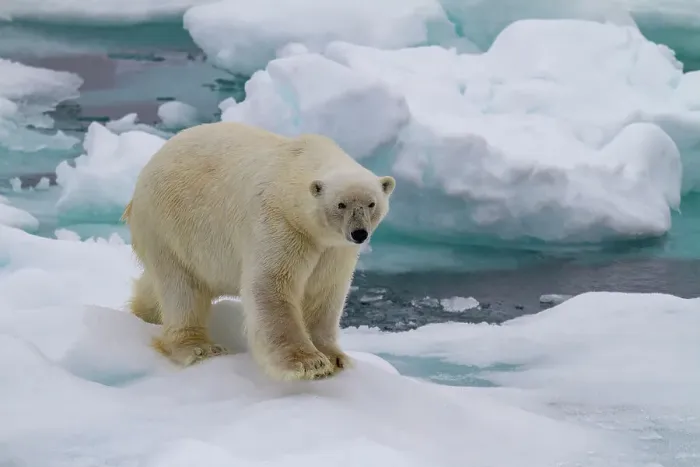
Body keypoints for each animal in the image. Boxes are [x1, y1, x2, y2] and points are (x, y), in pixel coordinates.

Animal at [121, 121, 396, 381]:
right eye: (341, 204)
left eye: (371, 203)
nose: (359, 233)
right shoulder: (281, 224)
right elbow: (272, 283)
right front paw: (307, 363)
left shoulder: (334, 249)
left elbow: (324, 291)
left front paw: (335, 358)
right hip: (169, 226)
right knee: (180, 289)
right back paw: (198, 348)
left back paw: (144, 312)